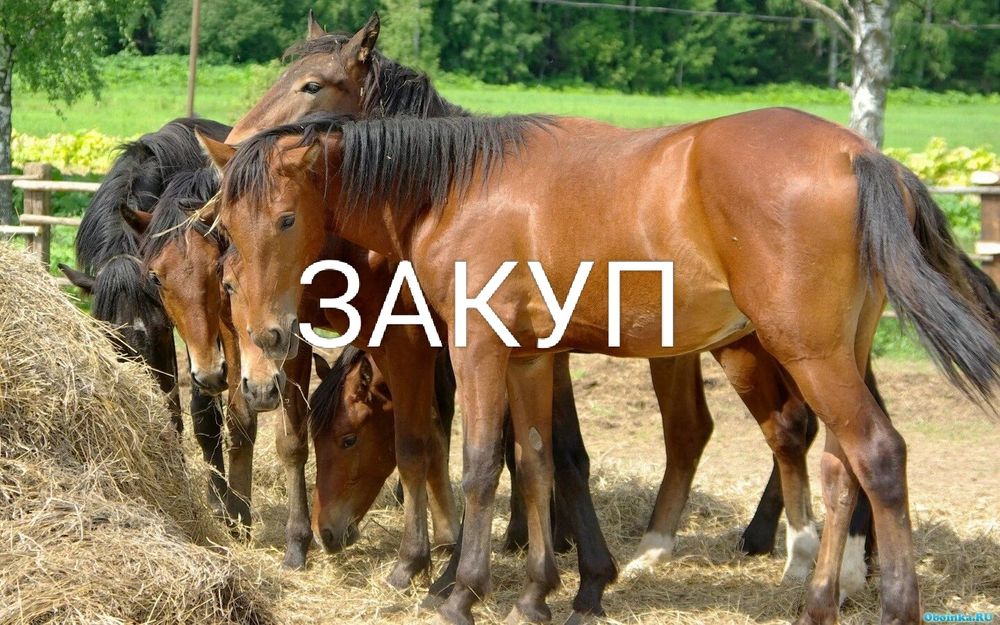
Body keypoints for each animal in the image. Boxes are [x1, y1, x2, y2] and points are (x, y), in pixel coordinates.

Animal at [209, 110, 999, 625]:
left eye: (285, 220)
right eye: (226, 228)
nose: (269, 335)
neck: (454, 187)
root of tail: (862, 157)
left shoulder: (478, 348)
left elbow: (477, 466)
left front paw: (460, 591)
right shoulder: (530, 358)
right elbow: (534, 463)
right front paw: (535, 594)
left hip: (807, 354)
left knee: (878, 455)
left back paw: (890, 604)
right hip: (834, 356)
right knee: (840, 469)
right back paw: (816, 603)